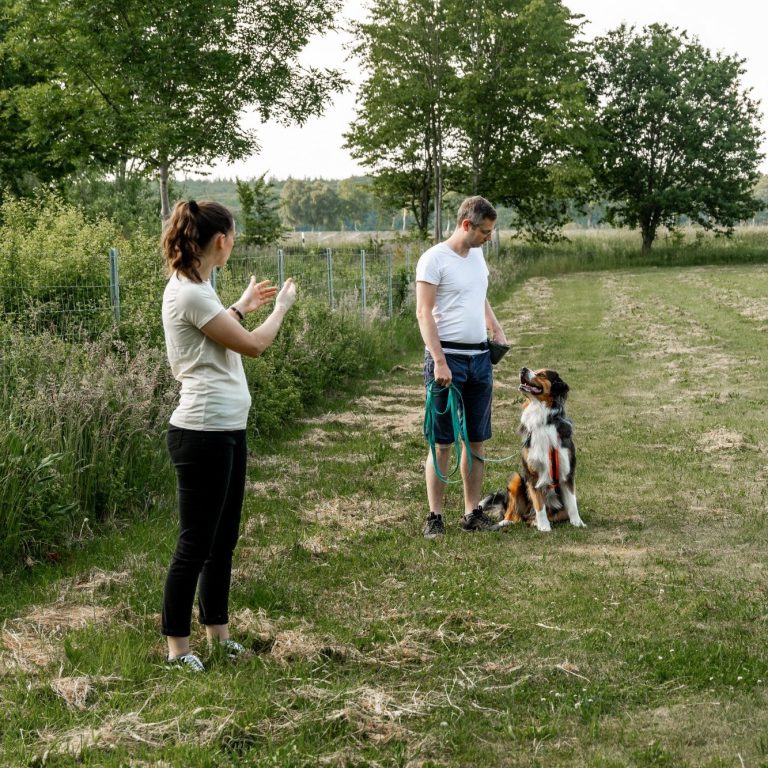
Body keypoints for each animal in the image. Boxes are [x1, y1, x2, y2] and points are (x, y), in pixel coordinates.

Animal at [480, 368, 588, 532]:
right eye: (535, 370)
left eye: (542, 374)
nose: (523, 369)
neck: (543, 418)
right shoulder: (532, 474)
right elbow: (539, 504)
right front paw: (544, 526)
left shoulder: (568, 471)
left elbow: (572, 502)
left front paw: (578, 523)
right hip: (516, 479)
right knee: (514, 515)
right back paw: (507, 522)